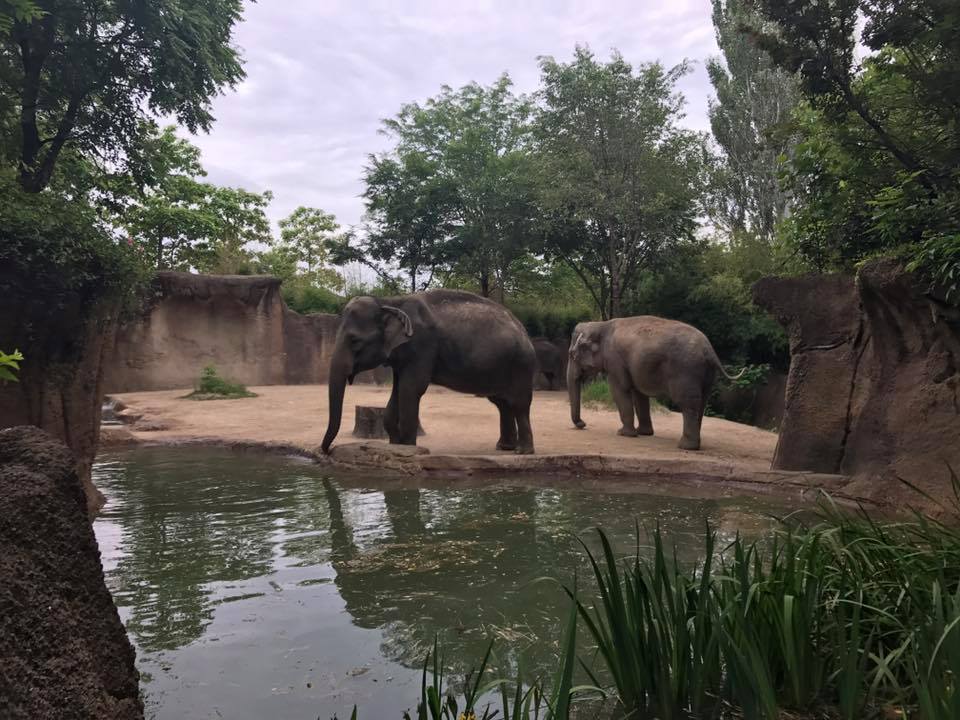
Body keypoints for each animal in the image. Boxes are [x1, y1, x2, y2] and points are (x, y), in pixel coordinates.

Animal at [321, 289, 537, 455]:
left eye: (354, 341)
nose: (326, 451)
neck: (390, 301)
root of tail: (524, 331)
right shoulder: (402, 355)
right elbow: (397, 392)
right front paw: (395, 444)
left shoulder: (422, 345)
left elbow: (411, 389)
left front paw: (408, 448)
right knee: (502, 403)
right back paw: (504, 448)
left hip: (521, 365)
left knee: (519, 404)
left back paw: (523, 452)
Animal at [566, 317, 744, 450]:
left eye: (572, 354)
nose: (582, 424)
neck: (601, 324)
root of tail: (711, 351)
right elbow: (639, 395)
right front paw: (643, 433)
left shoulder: (614, 360)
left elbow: (620, 390)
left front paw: (623, 433)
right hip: (707, 375)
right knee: (702, 402)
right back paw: (694, 444)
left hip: (686, 371)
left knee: (688, 404)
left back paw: (686, 447)